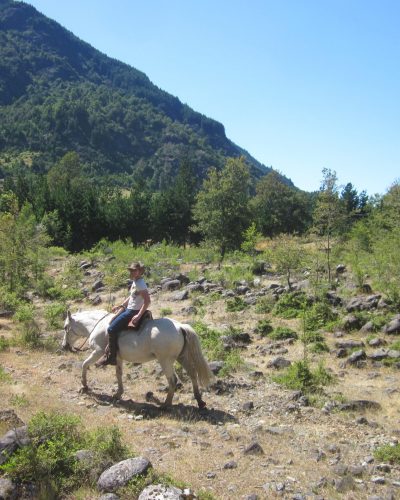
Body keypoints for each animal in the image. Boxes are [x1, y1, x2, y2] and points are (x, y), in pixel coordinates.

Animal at [61, 310, 214, 408]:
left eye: (65, 327)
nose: (64, 346)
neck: (97, 325)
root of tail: (181, 327)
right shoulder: (117, 357)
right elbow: (119, 374)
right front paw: (118, 393)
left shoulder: (97, 352)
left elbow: (84, 364)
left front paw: (84, 386)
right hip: (181, 357)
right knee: (192, 374)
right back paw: (199, 401)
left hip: (165, 360)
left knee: (173, 380)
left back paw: (166, 404)